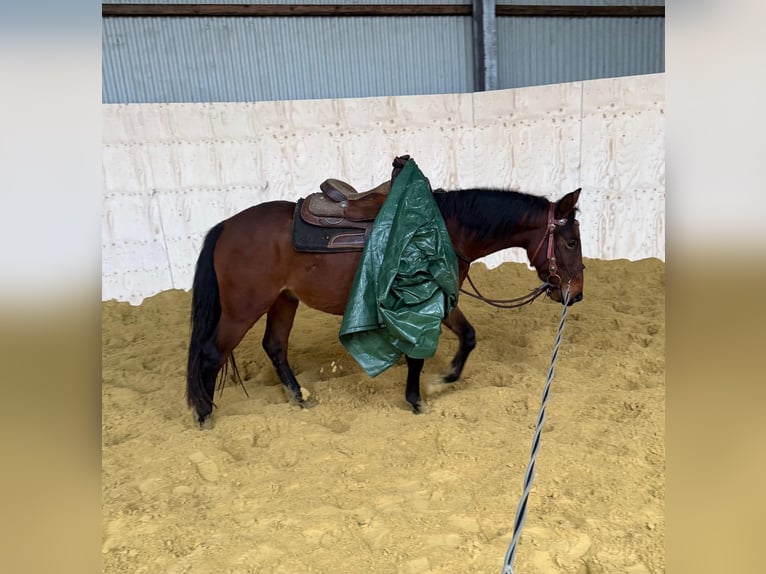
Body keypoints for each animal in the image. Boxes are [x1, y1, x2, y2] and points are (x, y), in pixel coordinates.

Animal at [186, 178, 584, 426]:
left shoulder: (442, 300)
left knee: (275, 347)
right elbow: (419, 354)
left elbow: (468, 337)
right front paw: (419, 398)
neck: (443, 230)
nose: (576, 293)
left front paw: (444, 380)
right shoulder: (425, 300)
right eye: (570, 242)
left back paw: (299, 399)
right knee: (211, 353)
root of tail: (226, 226)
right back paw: (205, 416)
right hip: (244, 307)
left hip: (284, 300)